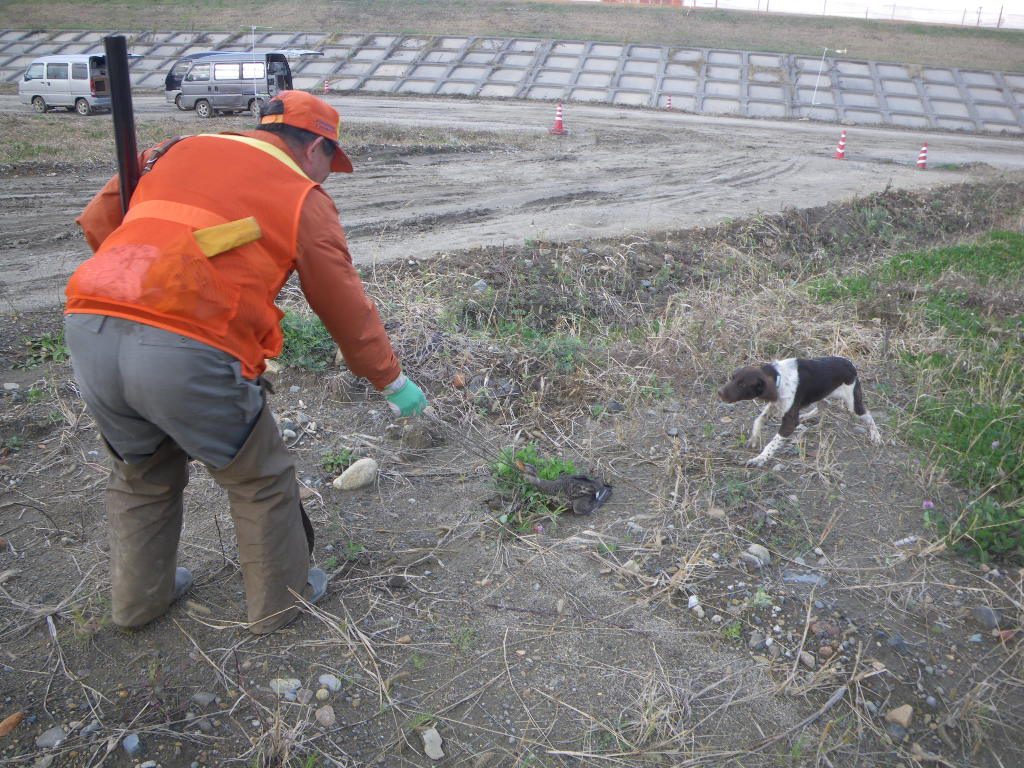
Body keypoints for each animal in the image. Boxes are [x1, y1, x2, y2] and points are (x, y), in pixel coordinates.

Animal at [720, 356, 880, 468]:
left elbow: (773, 443)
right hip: (820, 394)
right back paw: (811, 420)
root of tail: (850, 364)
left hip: (853, 404)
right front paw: (754, 438)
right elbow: (758, 420)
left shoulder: (790, 421)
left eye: (742, 385)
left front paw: (760, 459)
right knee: (824, 405)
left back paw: (876, 436)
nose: (719, 393)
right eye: (732, 378)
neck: (778, 377)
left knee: (868, 415)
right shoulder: (775, 404)